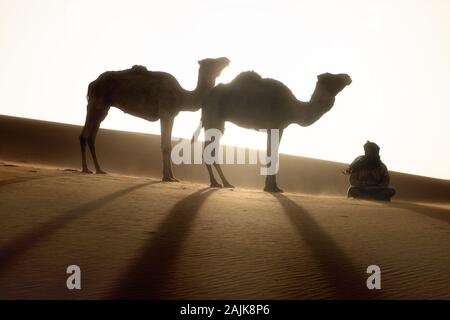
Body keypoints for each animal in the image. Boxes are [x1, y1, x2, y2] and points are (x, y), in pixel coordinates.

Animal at [78, 57, 230, 180]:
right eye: (212, 61)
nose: (226, 59)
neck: (182, 96)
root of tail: (93, 82)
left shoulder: (171, 115)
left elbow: (168, 145)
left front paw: (172, 177)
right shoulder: (165, 112)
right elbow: (165, 146)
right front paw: (167, 177)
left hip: (103, 108)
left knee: (92, 136)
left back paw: (99, 169)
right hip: (96, 102)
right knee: (84, 134)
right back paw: (85, 169)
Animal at [195, 71, 354, 191]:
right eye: (331, 77)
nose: (347, 76)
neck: (294, 108)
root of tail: (206, 98)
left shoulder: (277, 128)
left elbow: (272, 154)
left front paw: (271, 186)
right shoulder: (276, 125)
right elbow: (272, 155)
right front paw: (272, 187)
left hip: (216, 122)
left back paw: (223, 182)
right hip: (214, 118)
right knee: (210, 151)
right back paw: (219, 182)